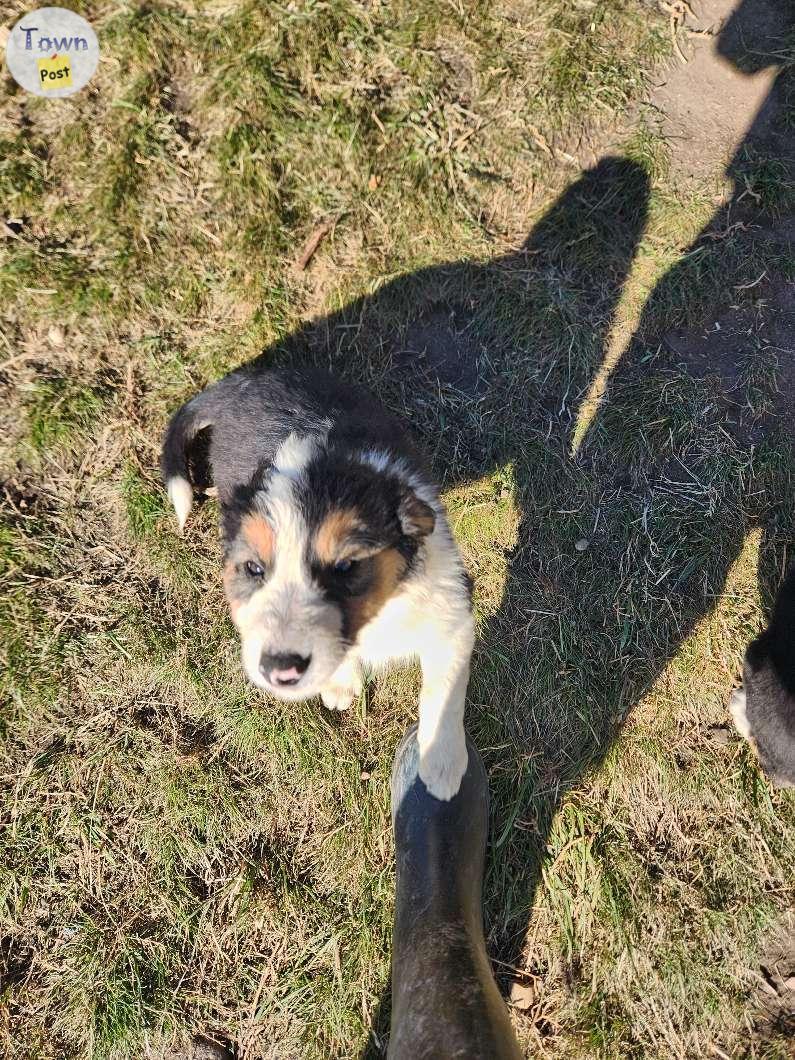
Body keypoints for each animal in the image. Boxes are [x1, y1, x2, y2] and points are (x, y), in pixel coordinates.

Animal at [160, 364, 476, 797]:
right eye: (253, 569)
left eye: (346, 567)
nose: (280, 671)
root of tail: (234, 384)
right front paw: (341, 683)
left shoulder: (450, 616)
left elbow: (442, 695)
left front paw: (440, 770)